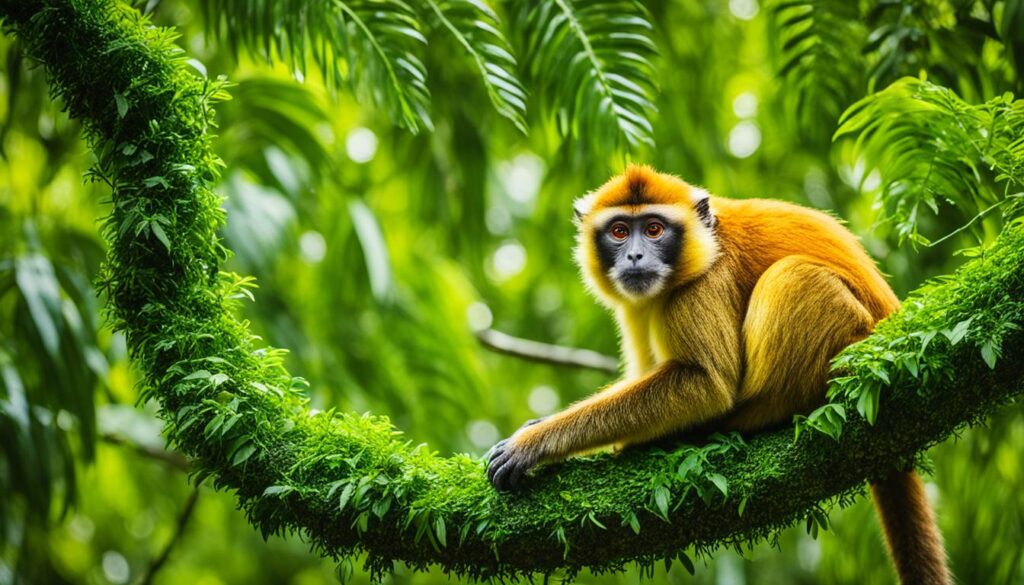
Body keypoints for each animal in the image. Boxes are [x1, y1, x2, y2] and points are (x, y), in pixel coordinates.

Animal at [487, 164, 950, 585]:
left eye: (654, 229)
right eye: (619, 232)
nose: (636, 255)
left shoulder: (704, 282)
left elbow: (705, 384)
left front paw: (535, 443)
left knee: (796, 276)